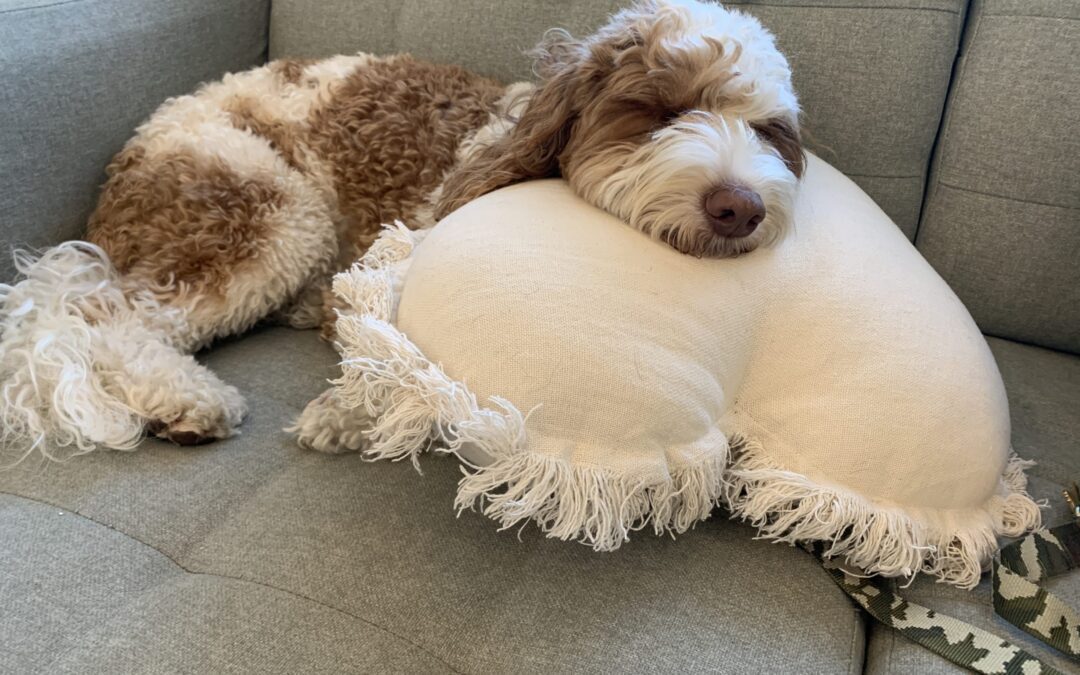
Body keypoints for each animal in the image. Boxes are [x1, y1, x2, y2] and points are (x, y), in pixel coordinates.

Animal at [0, 0, 799, 460]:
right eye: (661, 112)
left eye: (769, 131)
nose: (740, 207)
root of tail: (135, 150)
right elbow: (397, 351)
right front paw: (351, 409)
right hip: (266, 210)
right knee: (114, 317)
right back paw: (190, 401)